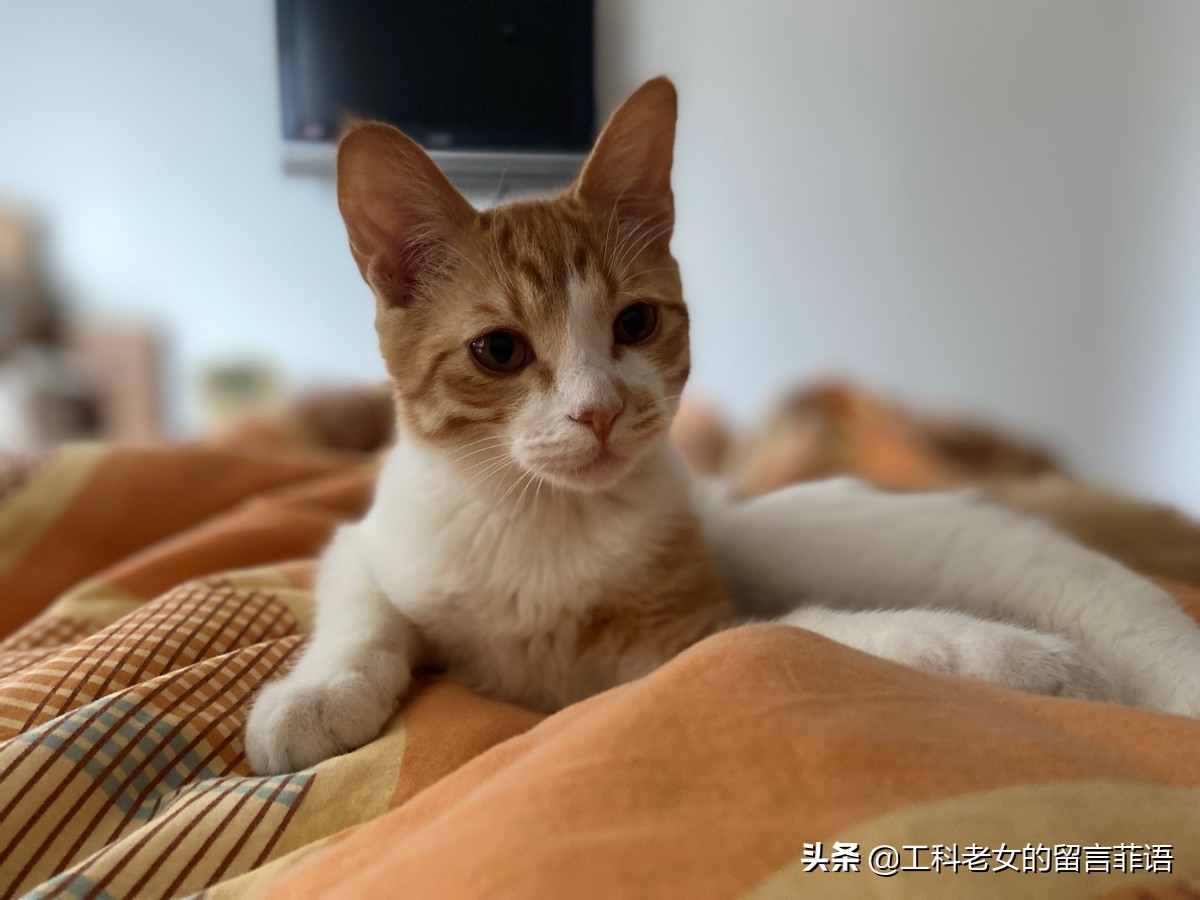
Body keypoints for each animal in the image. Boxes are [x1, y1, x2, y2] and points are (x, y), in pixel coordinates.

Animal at [244, 77, 1200, 775]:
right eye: (499, 350)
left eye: (635, 323)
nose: (599, 411)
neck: (545, 526)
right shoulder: (369, 542)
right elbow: (362, 616)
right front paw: (314, 697)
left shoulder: (686, 643)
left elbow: (798, 636)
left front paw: (1014, 662)